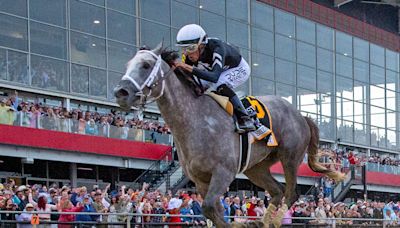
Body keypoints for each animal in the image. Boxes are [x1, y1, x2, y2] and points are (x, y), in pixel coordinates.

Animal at [113, 43, 344, 227]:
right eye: (127, 65)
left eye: (146, 65)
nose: (120, 92)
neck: (195, 120)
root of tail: (301, 115)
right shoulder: (200, 180)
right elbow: (212, 210)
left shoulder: (223, 172)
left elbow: (209, 208)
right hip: (256, 168)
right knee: (277, 191)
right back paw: (262, 221)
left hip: (290, 157)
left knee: (291, 192)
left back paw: (275, 220)